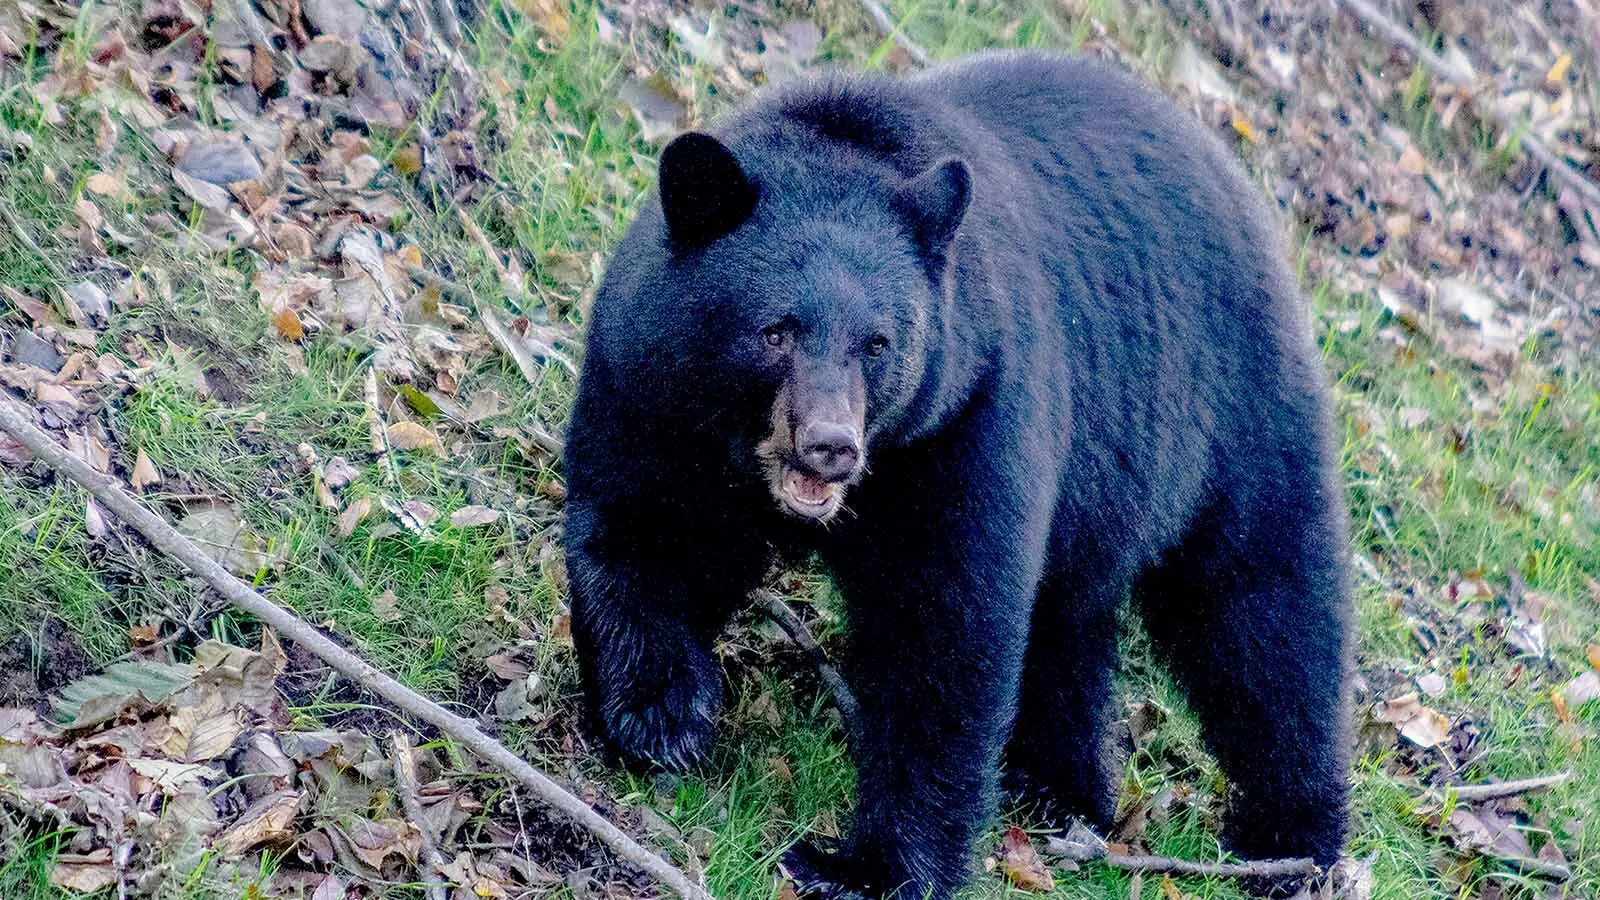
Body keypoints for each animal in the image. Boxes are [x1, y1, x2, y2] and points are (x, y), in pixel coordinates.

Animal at [563, 50, 1352, 900]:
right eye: (775, 330)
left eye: (878, 343)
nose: (831, 446)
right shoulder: (652, 388)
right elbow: (645, 528)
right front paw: (661, 716)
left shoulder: (967, 416)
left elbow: (944, 632)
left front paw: (864, 868)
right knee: (1070, 620)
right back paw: (1055, 785)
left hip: (1235, 421)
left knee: (1265, 619)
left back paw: (1292, 843)